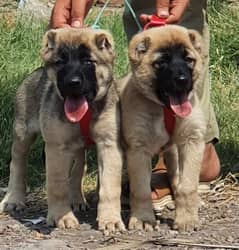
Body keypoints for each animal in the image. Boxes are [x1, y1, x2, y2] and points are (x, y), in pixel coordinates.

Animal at [0, 27, 125, 232]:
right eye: (60, 62)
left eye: (88, 62)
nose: (72, 83)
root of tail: (38, 71)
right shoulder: (57, 148)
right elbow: (57, 186)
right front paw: (61, 217)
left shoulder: (109, 145)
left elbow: (110, 186)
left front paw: (110, 219)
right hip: (22, 133)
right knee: (17, 163)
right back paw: (13, 198)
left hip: (75, 147)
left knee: (78, 168)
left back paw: (77, 199)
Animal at [119, 25, 207, 232]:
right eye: (161, 63)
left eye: (188, 60)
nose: (182, 79)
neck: (164, 109)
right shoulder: (138, 150)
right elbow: (141, 190)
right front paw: (143, 219)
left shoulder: (192, 141)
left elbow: (187, 185)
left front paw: (186, 218)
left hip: (173, 150)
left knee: (176, 176)